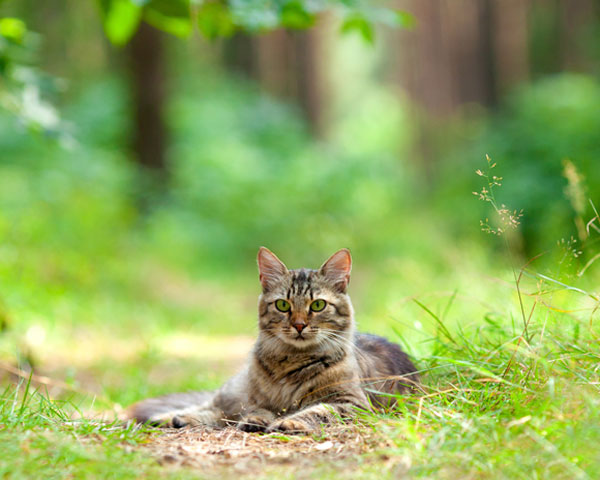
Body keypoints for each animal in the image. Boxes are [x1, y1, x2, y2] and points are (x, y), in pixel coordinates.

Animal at [126, 248, 418, 436]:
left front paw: (289, 423)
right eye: (282, 305)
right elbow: (259, 411)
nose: (299, 325)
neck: (291, 362)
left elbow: (317, 410)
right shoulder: (256, 399)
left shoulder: (352, 403)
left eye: (318, 305)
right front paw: (258, 420)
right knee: (213, 406)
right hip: (235, 391)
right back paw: (172, 418)